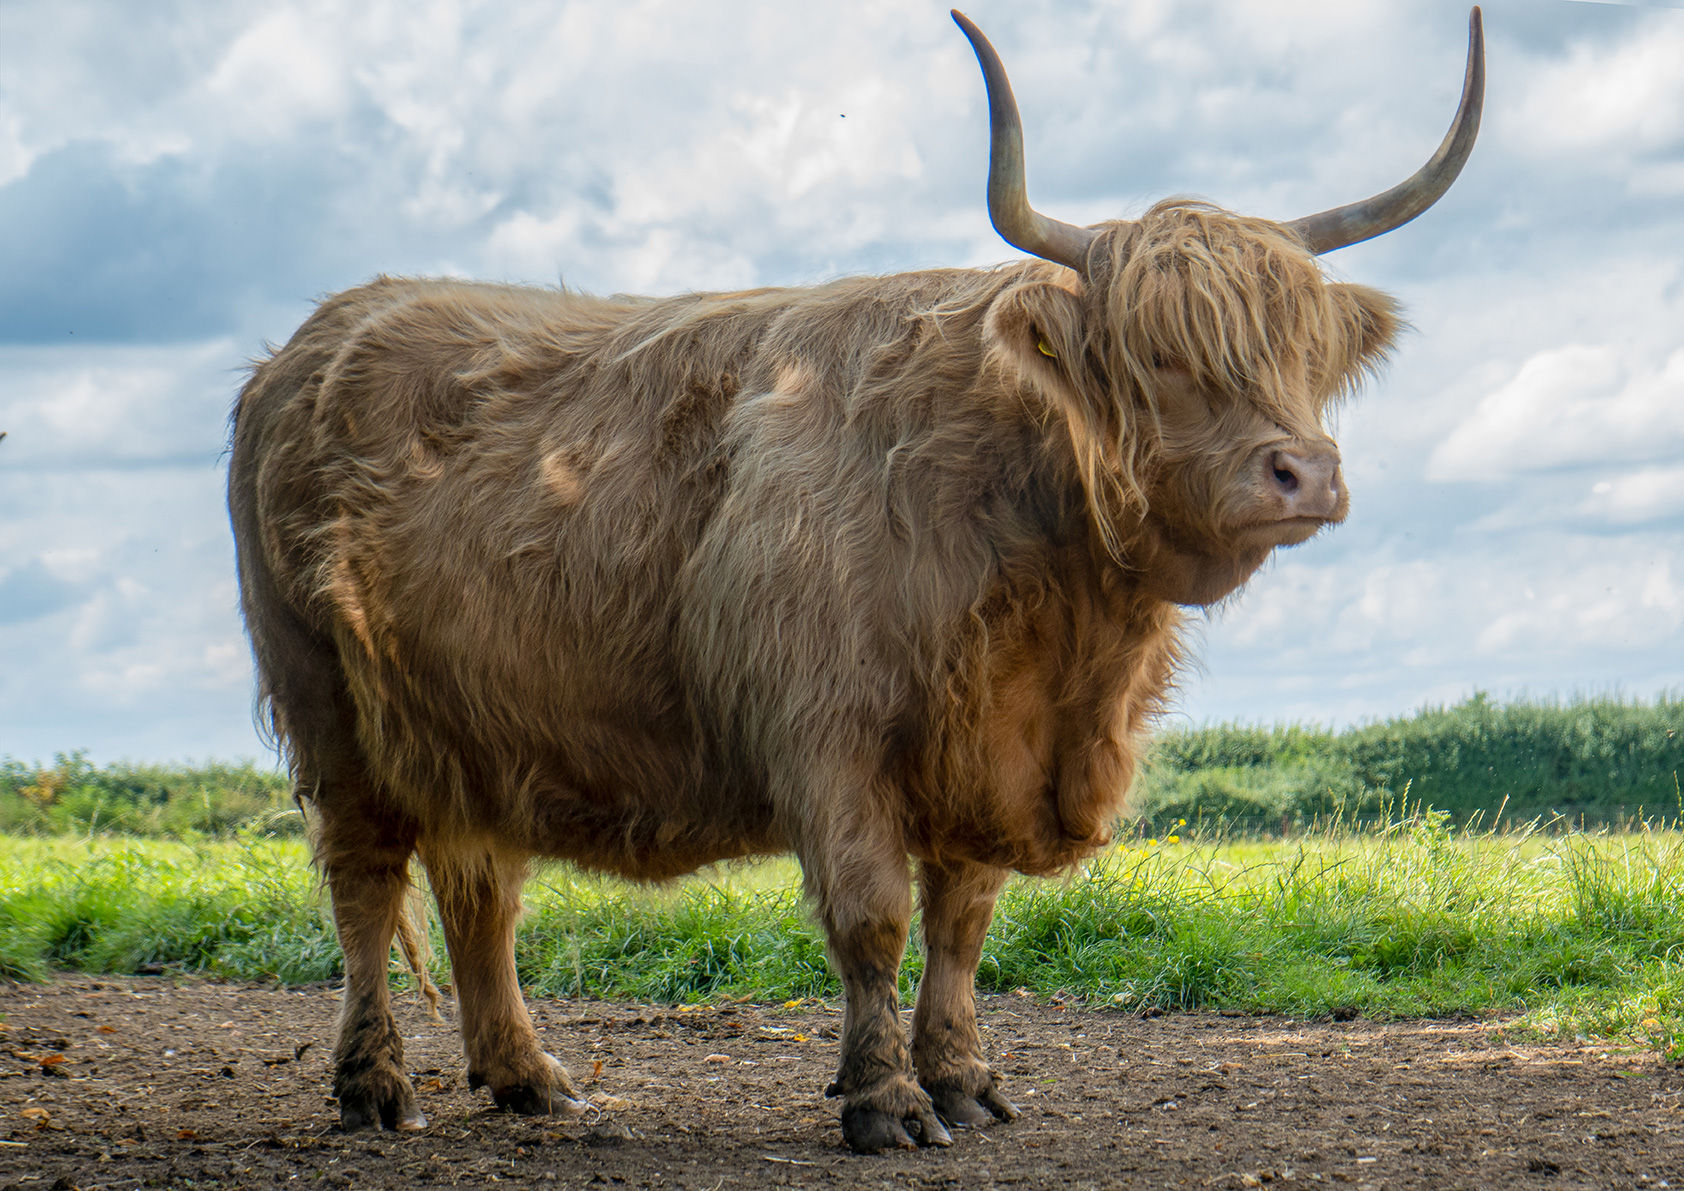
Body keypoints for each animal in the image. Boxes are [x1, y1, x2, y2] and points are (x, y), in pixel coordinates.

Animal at [227, 9, 1483, 1154]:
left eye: (1305, 352)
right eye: (1159, 352)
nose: (1303, 472)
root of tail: (307, 343)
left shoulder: (985, 751)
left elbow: (962, 926)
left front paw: (964, 1083)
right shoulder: (827, 732)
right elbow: (874, 921)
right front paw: (884, 1102)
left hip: (468, 721)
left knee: (479, 884)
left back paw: (527, 1077)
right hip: (329, 709)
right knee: (364, 884)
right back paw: (373, 1087)